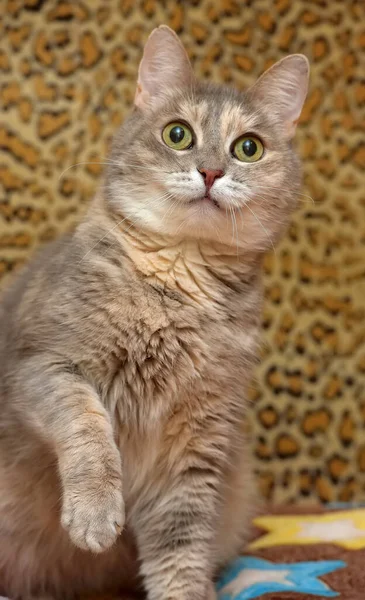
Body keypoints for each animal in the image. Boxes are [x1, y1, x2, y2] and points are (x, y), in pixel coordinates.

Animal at [0, 25, 308, 600]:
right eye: (178, 134)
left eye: (248, 148)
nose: (210, 171)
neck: (175, 291)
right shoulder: (43, 366)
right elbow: (88, 428)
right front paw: (95, 513)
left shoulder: (196, 441)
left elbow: (180, 544)